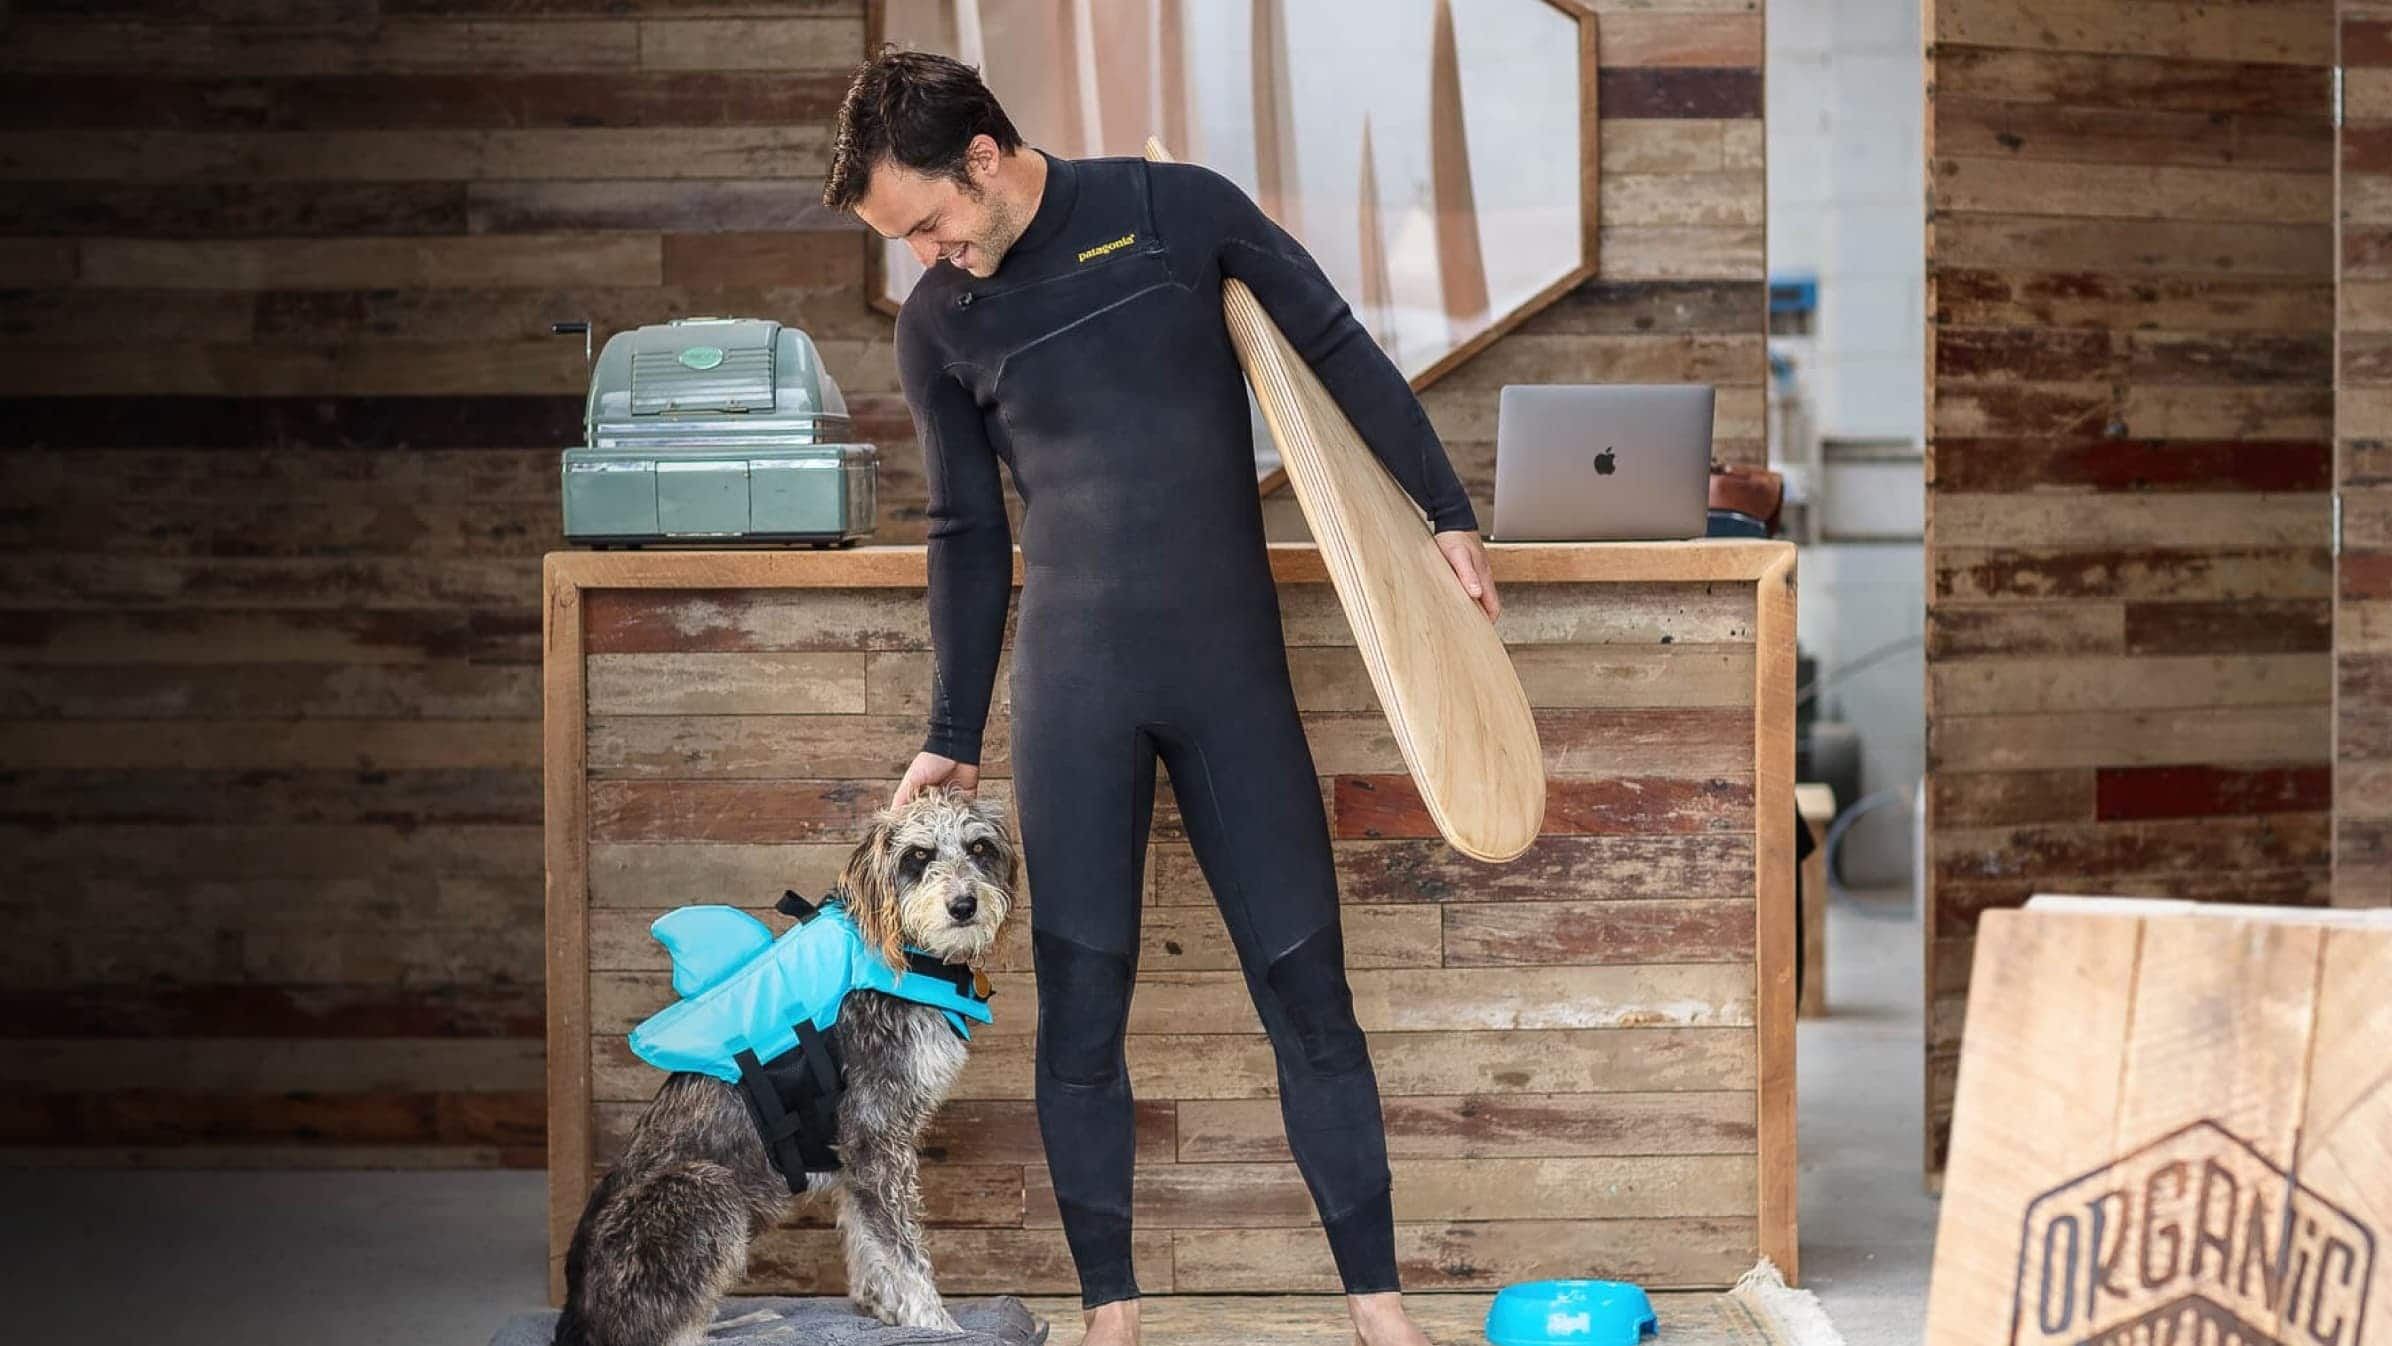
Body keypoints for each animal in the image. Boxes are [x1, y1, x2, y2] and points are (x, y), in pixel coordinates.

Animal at [557, 784, 1018, 1338]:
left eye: (979, 848)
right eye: (917, 856)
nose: (964, 905)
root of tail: (576, 1314)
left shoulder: (857, 1148)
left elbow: (867, 1238)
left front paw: (882, 1307)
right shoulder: (874, 1133)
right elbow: (903, 1250)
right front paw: (933, 1322)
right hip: (707, 1190)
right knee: (674, 1333)